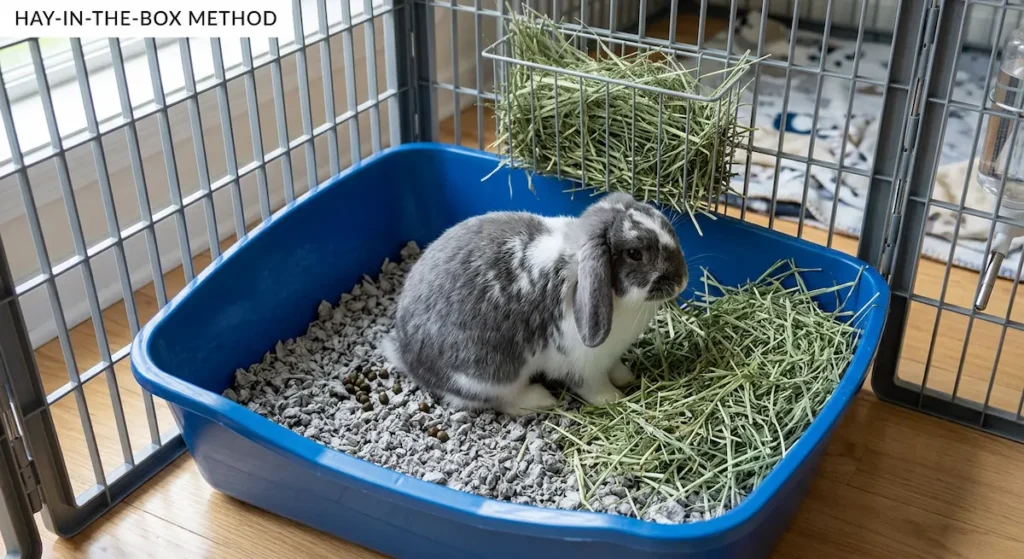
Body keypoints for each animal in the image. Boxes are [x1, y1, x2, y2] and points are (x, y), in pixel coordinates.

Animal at [382, 192, 689, 416]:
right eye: (635, 253)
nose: (681, 280)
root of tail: (407, 356)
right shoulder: (584, 365)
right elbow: (594, 386)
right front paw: (613, 398)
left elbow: (616, 368)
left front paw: (626, 376)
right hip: (490, 376)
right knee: (499, 400)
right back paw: (541, 400)